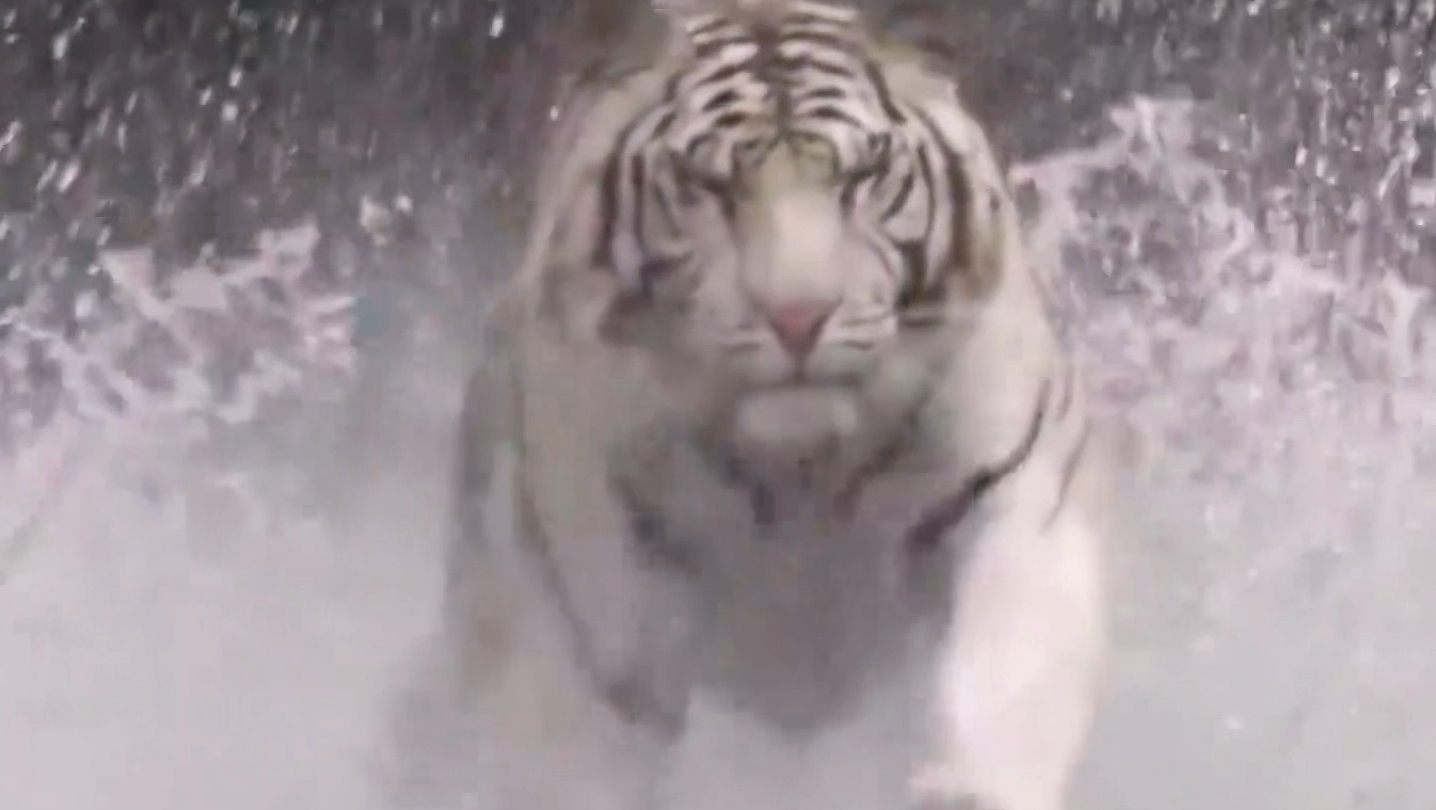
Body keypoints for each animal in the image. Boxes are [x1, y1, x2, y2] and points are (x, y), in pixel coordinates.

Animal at [377, 2, 1112, 810]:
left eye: (860, 176)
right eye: (708, 185)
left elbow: (1002, 669)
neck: (802, 472)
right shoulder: (606, 624)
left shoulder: (1009, 493)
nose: (799, 316)